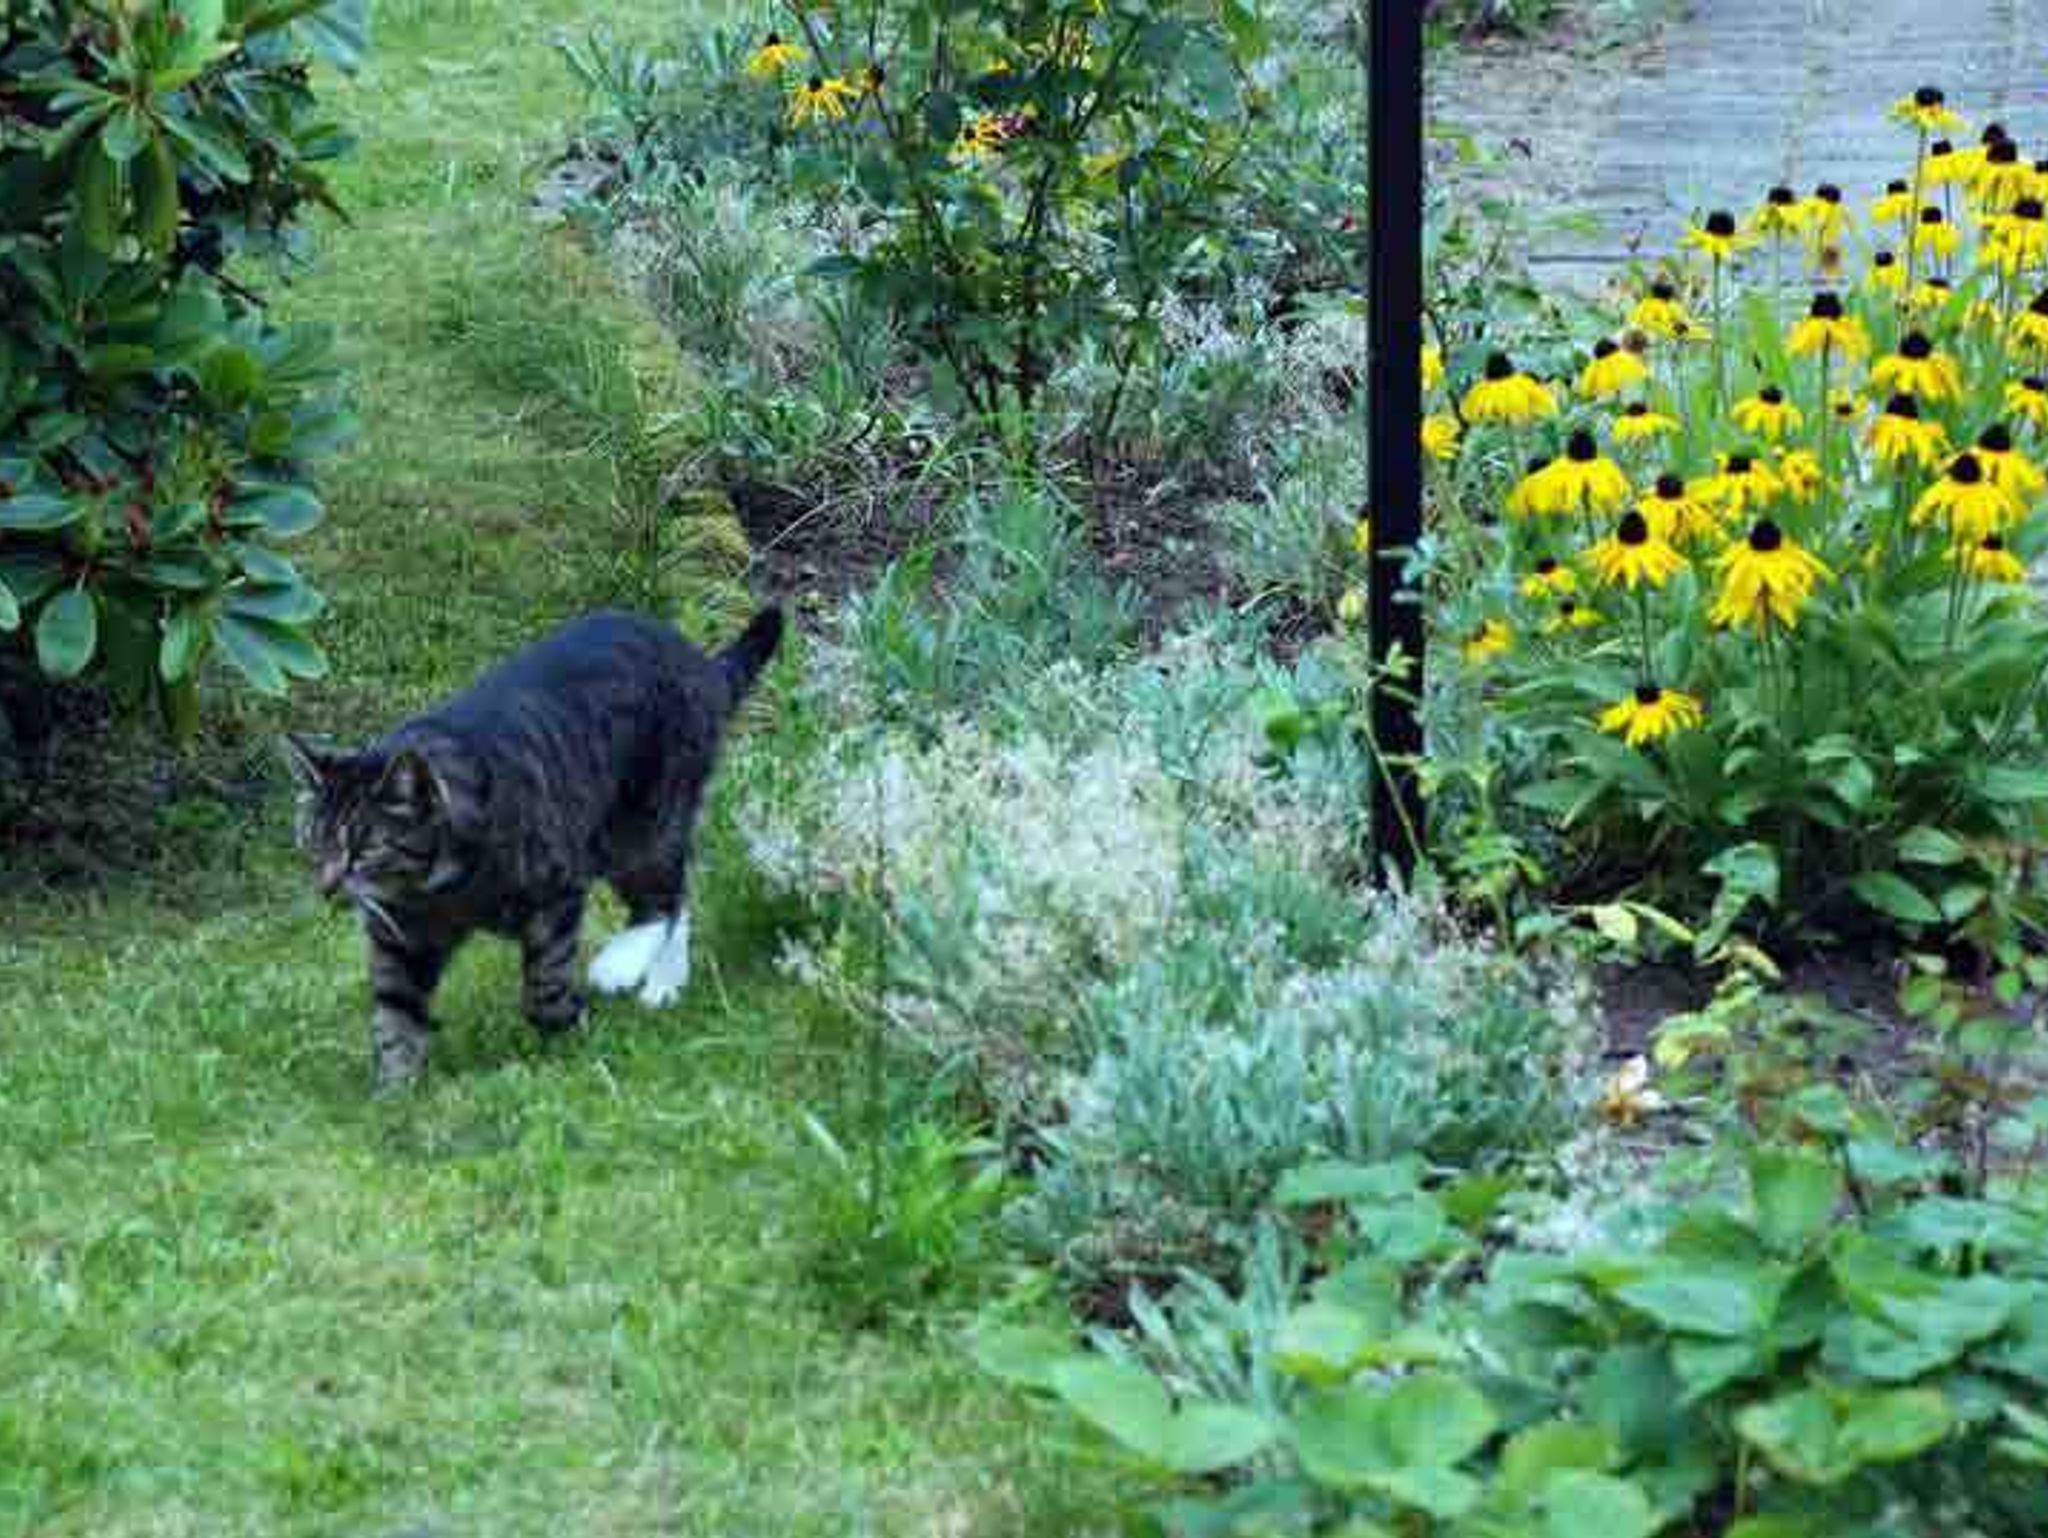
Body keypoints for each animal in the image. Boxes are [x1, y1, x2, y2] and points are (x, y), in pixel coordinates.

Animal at [280, 606, 774, 1089]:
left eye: (365, 850)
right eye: (313, 844)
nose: (326, 888)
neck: (438, 890)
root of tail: (699, 662)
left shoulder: (555, 893)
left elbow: (546, 982)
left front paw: (570, 1039)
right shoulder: (398, 938)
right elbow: (394, 1014)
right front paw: (395, 1092)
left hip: (644, 822)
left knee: (664, 898)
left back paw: (625, 967)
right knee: (681, 890)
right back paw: (665, 983)